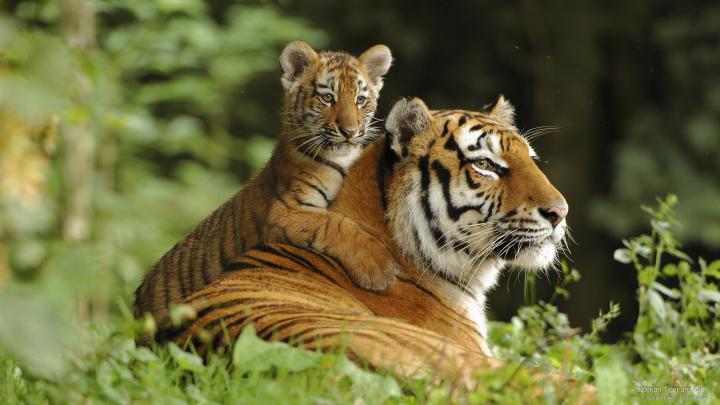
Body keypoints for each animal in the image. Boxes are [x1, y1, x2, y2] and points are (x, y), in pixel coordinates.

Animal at [133, 41, 397, 321]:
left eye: (361, 100)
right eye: (327, 98)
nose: (350, 132)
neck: (343, 158)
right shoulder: (285, 210)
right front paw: (379, 268)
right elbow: (334, 224)